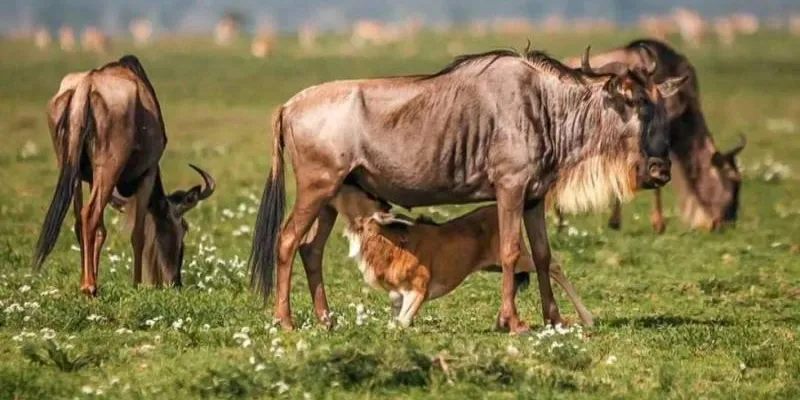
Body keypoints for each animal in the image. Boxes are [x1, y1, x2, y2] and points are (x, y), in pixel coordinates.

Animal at [33, 55, 216, 295]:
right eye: (184, 228)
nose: (176, 281)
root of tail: (86, 85)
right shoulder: (148, 174)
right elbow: (137, 234)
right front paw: (137, 283)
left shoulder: (90, 179)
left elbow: (101, 230)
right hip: (109, 169)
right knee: (89, 214)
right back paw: (89, 286)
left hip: (72, 171)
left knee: (81, 220)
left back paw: (87, 282)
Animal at [323, 184, 594, 328]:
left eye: (362, 194)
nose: (332, 189)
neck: (389, 245)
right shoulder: (397, 296)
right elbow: (395, 320)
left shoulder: (418, 290)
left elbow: (402, 322)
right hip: (496, 266)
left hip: (521, 258)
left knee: (552, 265)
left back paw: (588, 317)